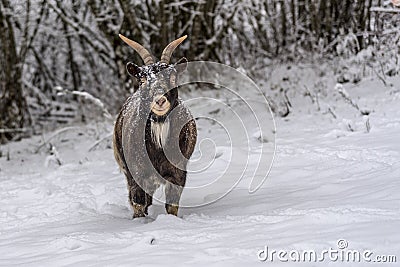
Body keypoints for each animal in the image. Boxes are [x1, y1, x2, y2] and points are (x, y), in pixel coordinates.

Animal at [112, 34, 197, 219]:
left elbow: (172, 205)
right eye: (142, 79)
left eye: (172, 78)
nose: (159, 100)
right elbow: (138, 202)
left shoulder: (178, 172)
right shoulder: (135, 172)